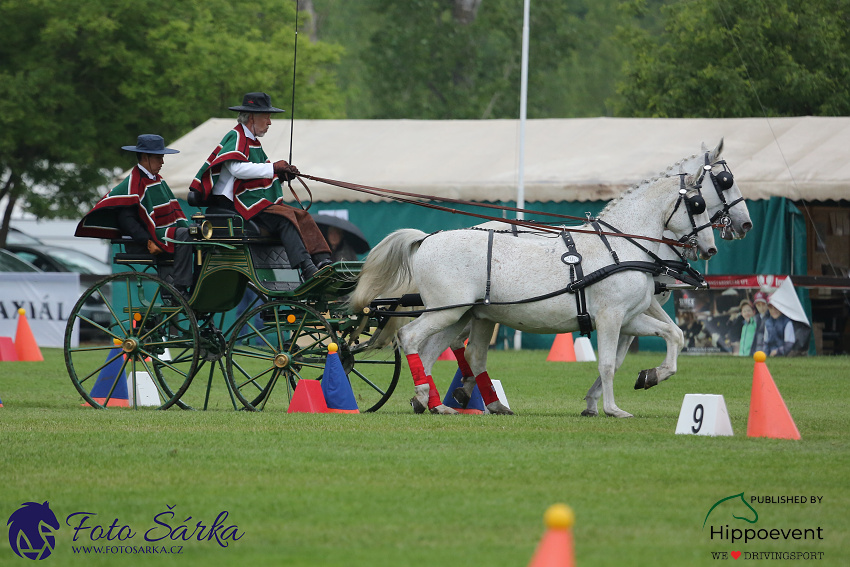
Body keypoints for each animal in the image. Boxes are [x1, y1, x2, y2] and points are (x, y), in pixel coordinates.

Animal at [352, 173, 716, 418]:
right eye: (698, 204)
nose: (710, 248)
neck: (619, 248)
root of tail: (427, 238)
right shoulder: (610, 317)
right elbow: (608, 363)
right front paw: (613, 408)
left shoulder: (630, 318)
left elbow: (674, 334)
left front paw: (651, 375)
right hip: (445, 311)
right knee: (410, 338)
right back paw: (429, 395)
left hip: (460, 314)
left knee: (435, 352)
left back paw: (436, 403)